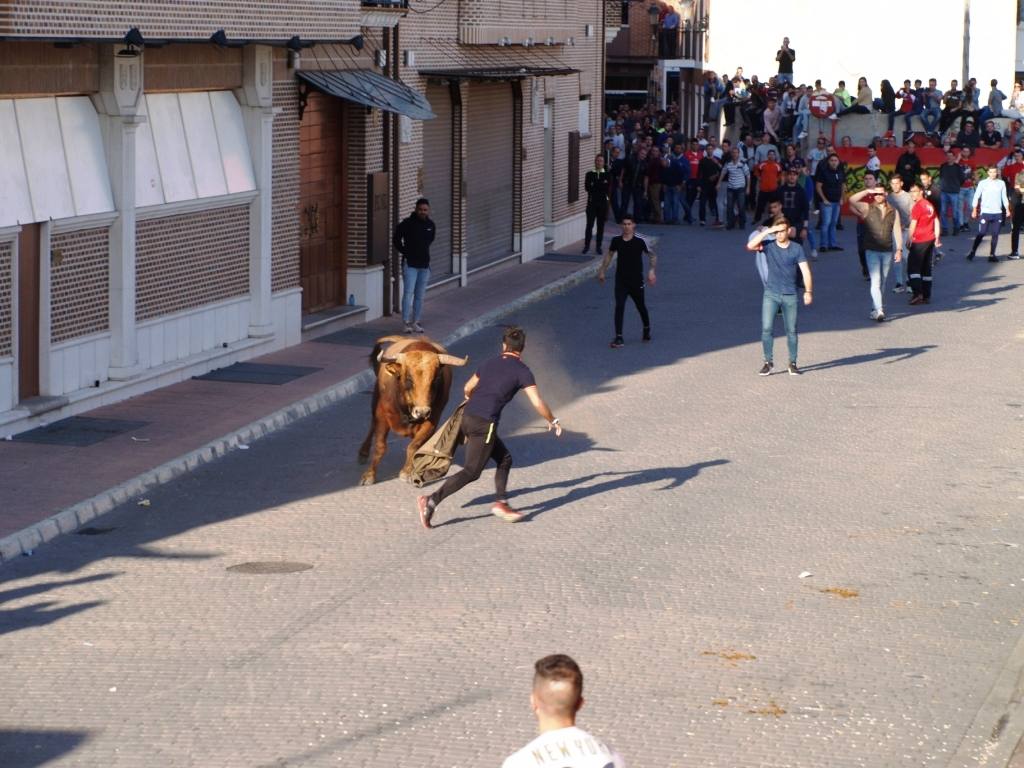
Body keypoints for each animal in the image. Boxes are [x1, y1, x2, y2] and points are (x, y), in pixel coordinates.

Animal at [360, 333, 468, 483]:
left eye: (435, 380)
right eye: (409, 379)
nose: (422, 411)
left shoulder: (432, 420)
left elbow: (413, 446)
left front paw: (407, 471)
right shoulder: (382, 415)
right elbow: (380, 446)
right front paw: (369, 475)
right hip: (375, 401)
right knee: (372, 426)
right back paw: (363, 452)